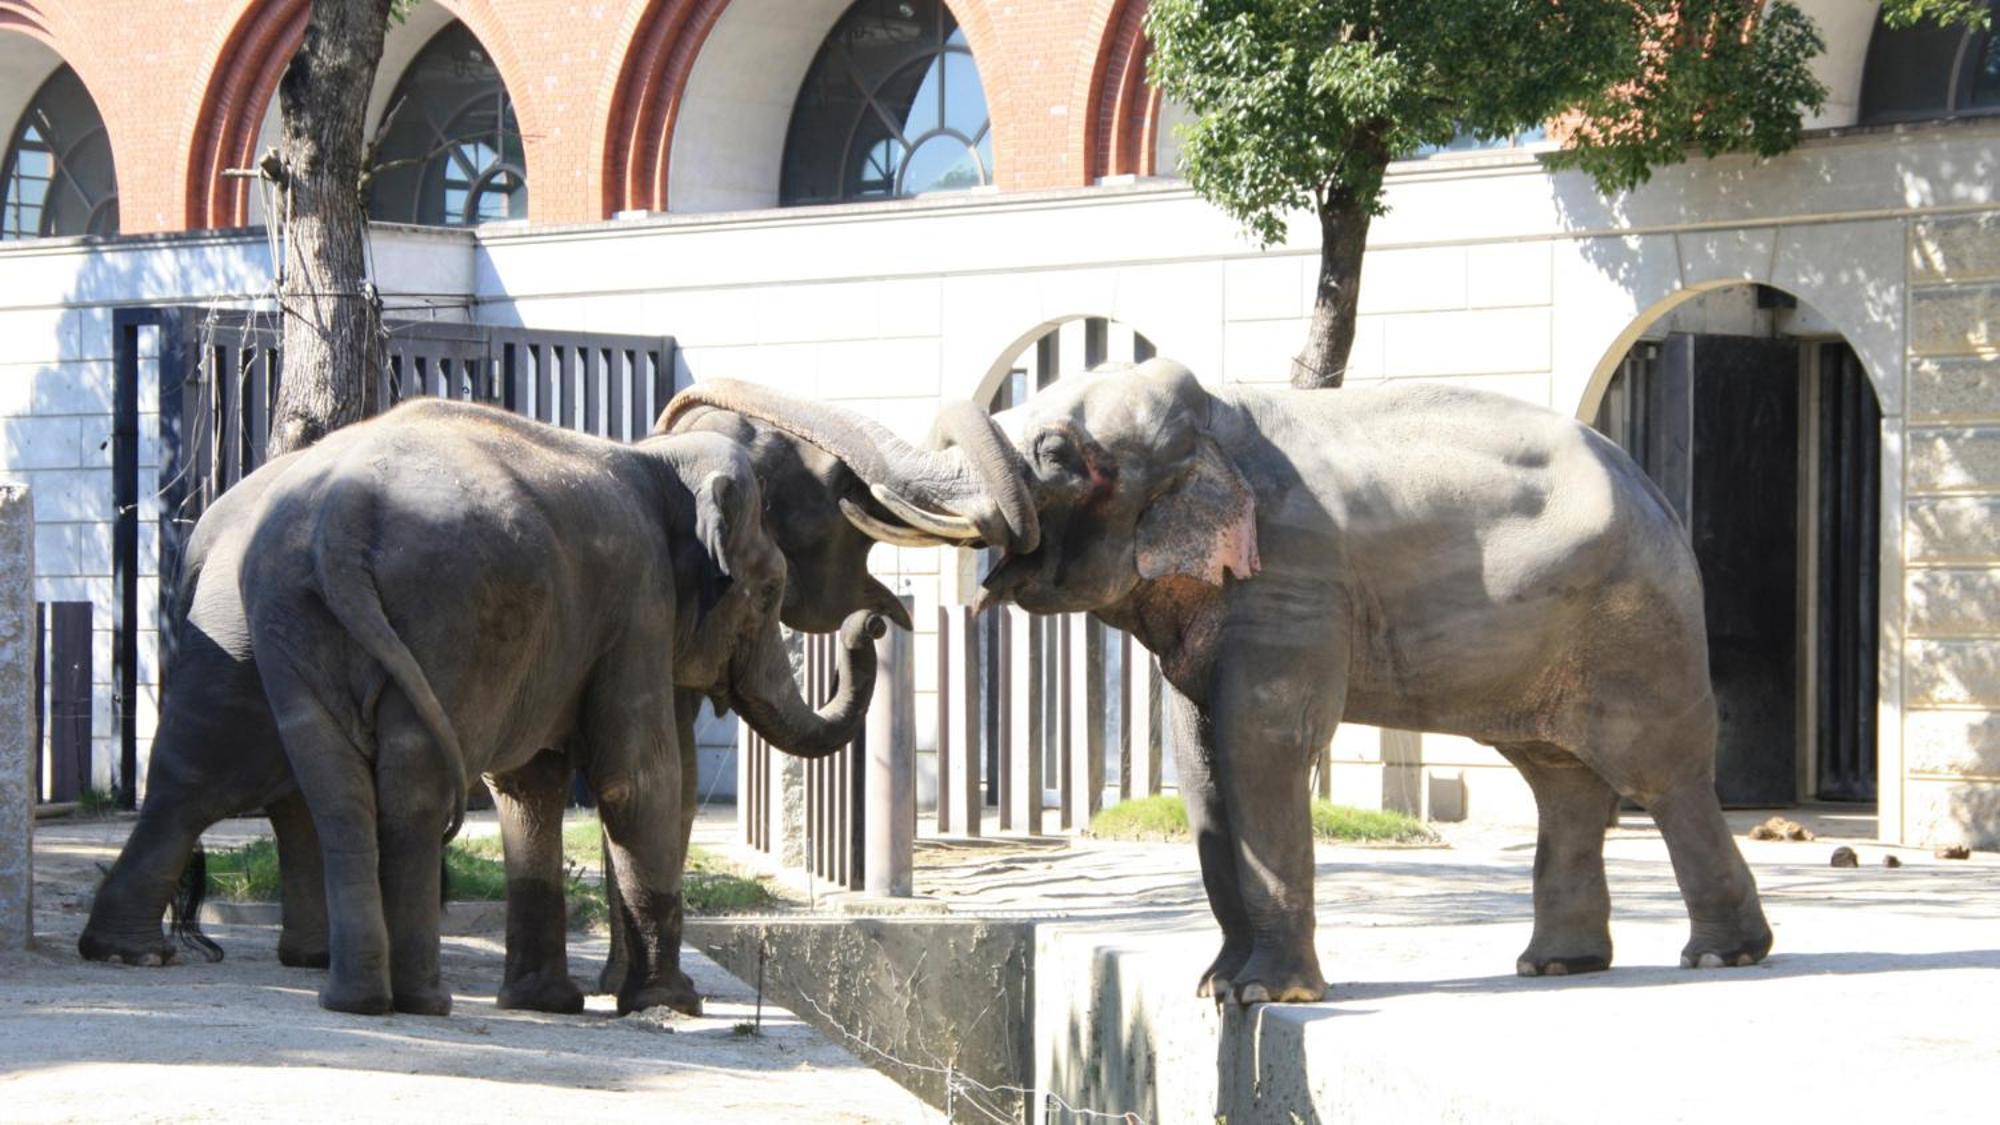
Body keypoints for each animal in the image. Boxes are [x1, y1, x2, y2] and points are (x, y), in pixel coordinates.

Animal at [680, 356, 1776, 996]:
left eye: (1056, 455)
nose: (882, 612)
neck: (1223, 425)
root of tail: (1650, 485)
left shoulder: (1292, 574)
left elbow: (1261, 745)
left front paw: (1263, 996)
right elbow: (1198, 755)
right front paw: (1216, 987)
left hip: (1640, 623)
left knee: (1659, 772)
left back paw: (1720, 956)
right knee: (1558, 777)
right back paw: (1555, 964)